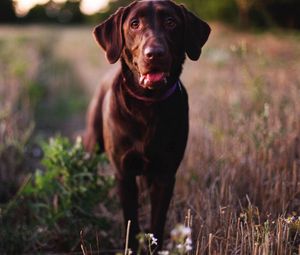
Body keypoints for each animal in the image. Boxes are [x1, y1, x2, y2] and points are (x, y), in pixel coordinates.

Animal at [84, 0, 211, 251]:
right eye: (134, 24)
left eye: (171, 22)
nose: (155, 54)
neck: (148, 106)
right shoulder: (124, 173)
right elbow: (131, 220)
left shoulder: (165, 174)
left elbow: (157, 222)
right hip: (93, 143)